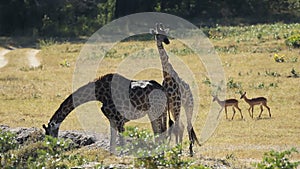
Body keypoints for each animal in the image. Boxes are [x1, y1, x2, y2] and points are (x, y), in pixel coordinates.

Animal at [151, 23, 200, 156]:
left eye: (166, 33)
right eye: (158, 34)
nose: (167, 41)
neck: (167, 76)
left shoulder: (177, 102)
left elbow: (175, 127)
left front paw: (178, 150)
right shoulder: (168, 104)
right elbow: (168, 127)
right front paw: (172, 148)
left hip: (188, 105)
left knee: (188, 125)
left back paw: (190, 150)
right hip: (174, 107)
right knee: (182, 125)